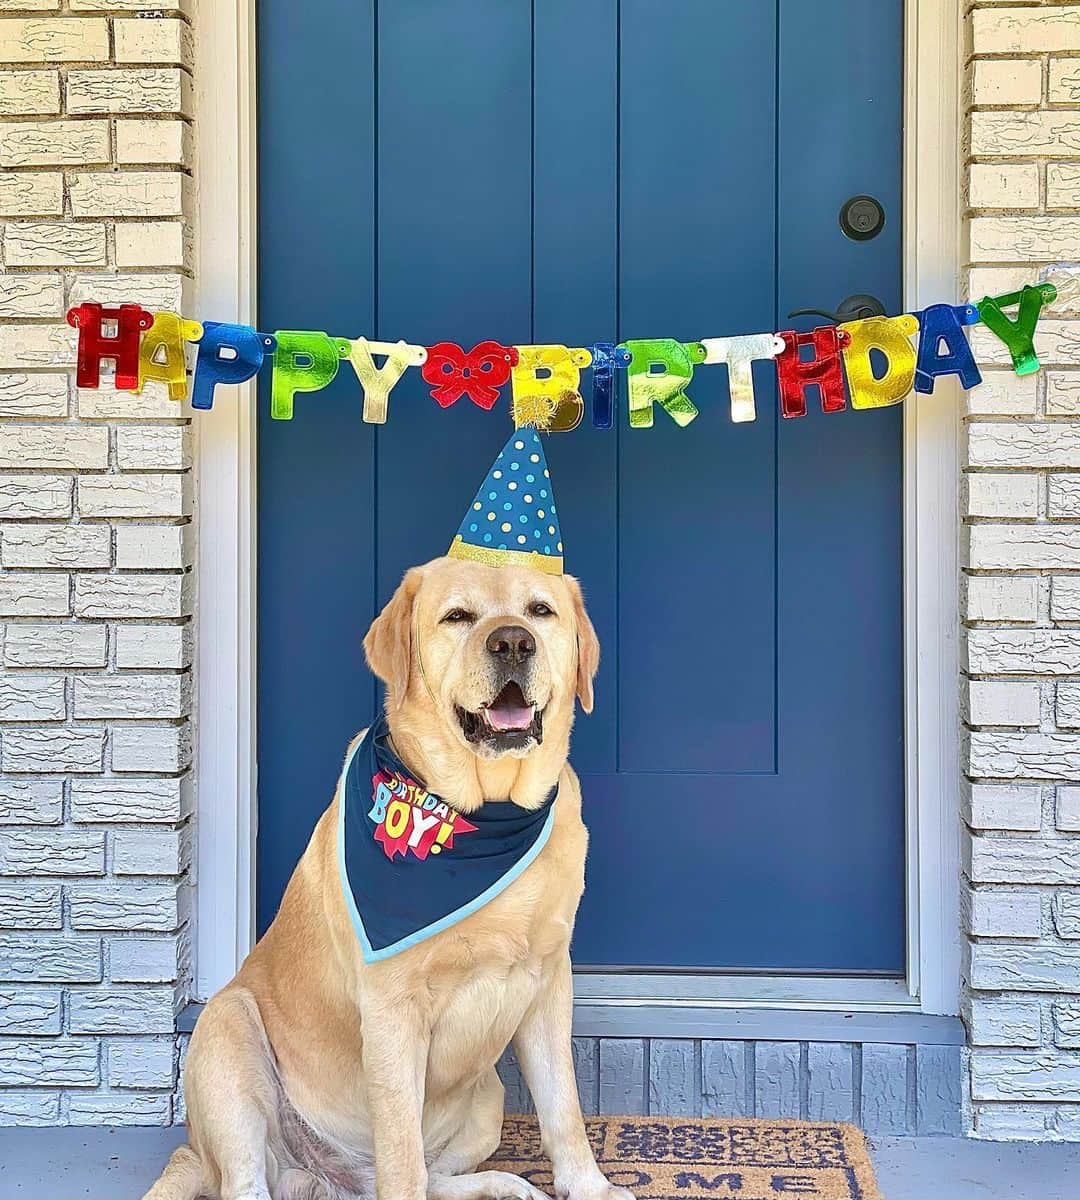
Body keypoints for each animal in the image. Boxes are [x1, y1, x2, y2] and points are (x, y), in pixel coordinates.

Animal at [145, 556, 633, 1200]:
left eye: (539, 611)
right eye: (458, 616)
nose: (512, 642)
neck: (485, 815)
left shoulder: (550, 980)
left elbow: (564, 1106)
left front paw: (589, 1185)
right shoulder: (392, 1011)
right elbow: (401, 1149)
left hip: (489, 1097)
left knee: (429, 1176)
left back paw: (504, 1184)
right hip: (228, 1036)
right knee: (261, 1181)